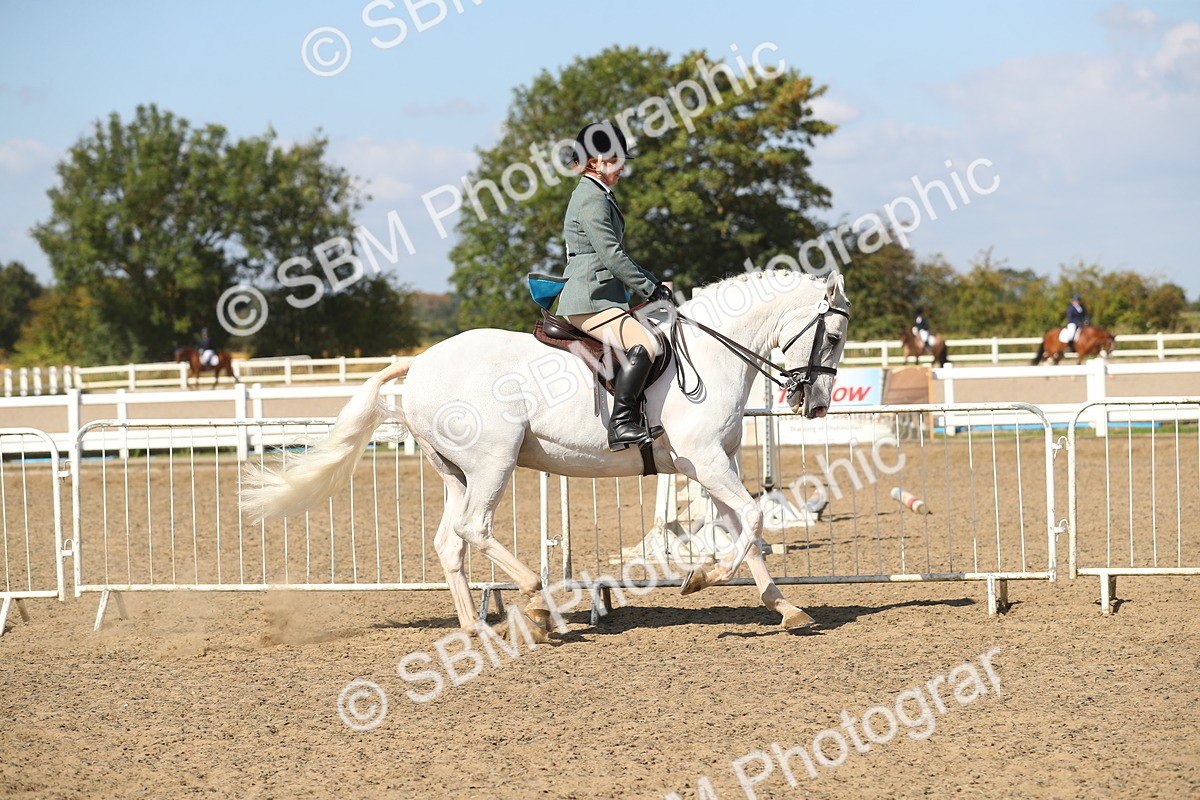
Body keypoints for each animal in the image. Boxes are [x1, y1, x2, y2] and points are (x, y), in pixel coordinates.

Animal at [241, 268, 851, 636]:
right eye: (835, 337)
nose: (818, 404)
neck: (711, 352)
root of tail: (421, 362)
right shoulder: (704, 461)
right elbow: (750, 519)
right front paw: (701, 579)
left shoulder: (711, 466)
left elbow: (746, 530)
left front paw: (785, 607)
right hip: (494, 460)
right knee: (474, 528)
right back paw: (534, 599)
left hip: (456, 472)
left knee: (449, 541)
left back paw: (473, 626)